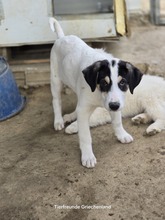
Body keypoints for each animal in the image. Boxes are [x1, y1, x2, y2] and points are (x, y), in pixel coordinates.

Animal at [48, 18, 142, 168]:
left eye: (123, 83)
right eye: (104, 82)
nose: (114, 106)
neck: (99, 94)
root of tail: (62, 37)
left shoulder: (115, 102)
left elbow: (117, 122)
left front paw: (121, 135)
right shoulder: (85, 109)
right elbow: (85, 136)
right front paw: (87, 156)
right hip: (55, 78)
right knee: (56, 101)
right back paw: (58, 121)